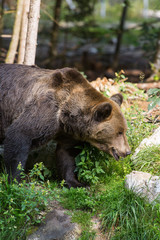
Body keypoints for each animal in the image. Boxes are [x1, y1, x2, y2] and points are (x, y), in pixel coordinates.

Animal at [0, 63, 130, 188]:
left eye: (124, 130)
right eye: (119, 132)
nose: (127, 151)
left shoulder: (69, 133)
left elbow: (67, 155)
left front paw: (78, 183)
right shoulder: (45, 109)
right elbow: (19, 135)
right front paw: (16, 180)